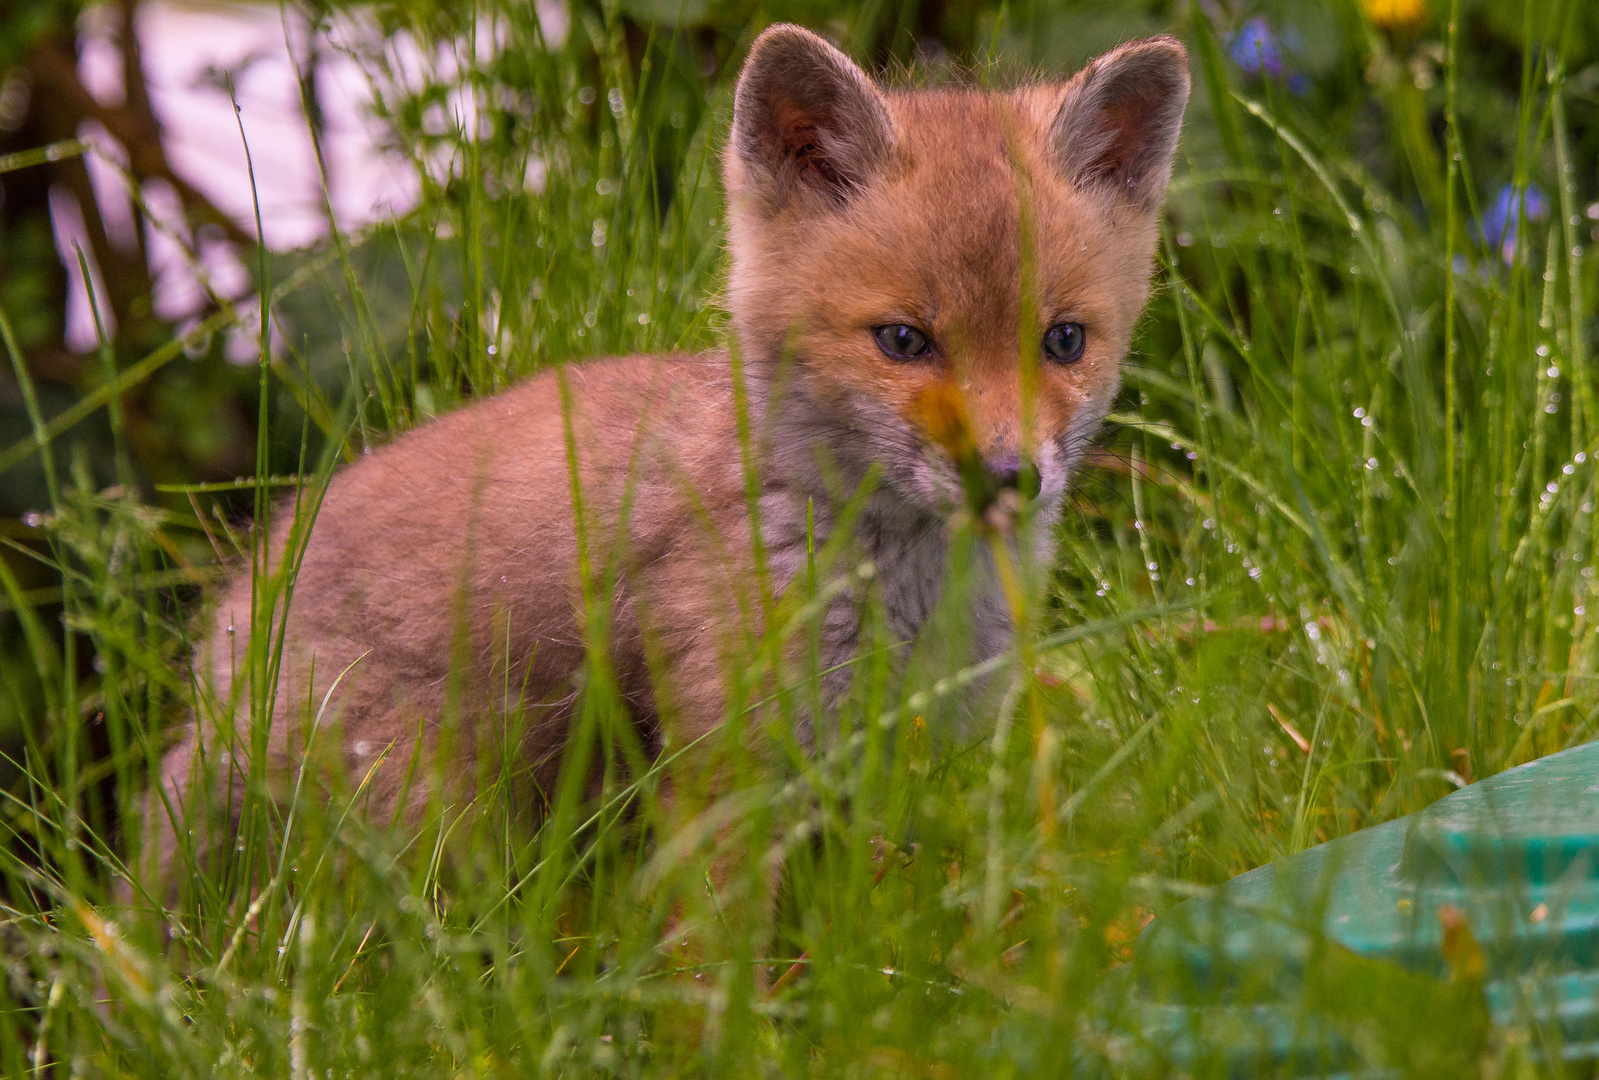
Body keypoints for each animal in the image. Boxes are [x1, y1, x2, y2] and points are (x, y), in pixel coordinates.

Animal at [152, 23, 1189, 870]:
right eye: (903, 341)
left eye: (1063, 340)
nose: (1008, 479)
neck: (910, 593)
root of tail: (227, 637)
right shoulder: (732, 764)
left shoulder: (919, 758)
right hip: (433, 817)